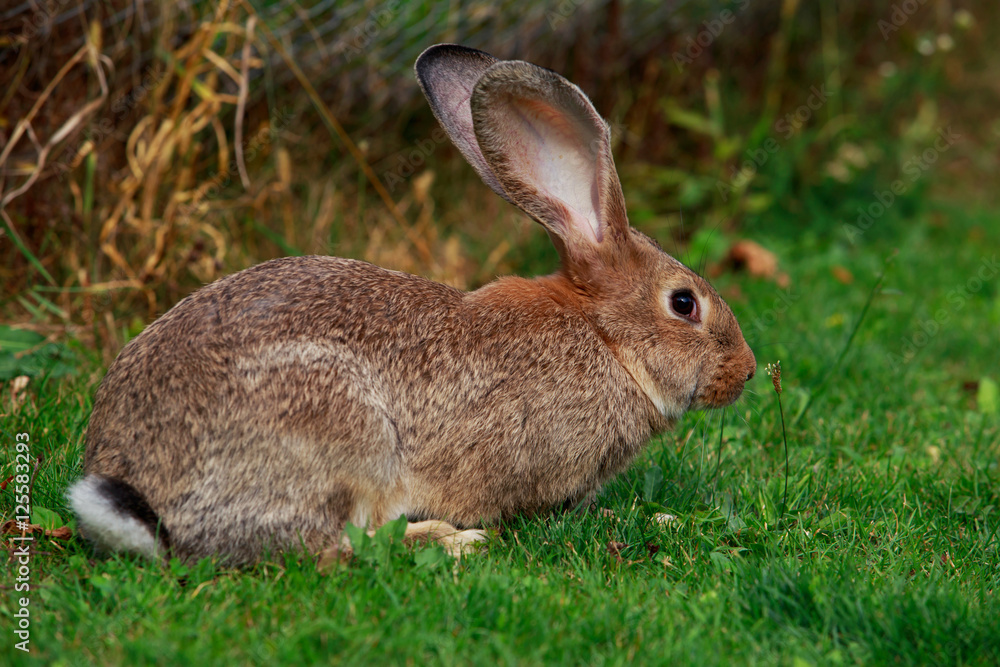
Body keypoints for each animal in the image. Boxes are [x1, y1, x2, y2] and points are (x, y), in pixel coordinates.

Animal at [68, 44, 757, 565]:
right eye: (684, 304)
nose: (746, 372)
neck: (606, 339)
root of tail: (144, 505)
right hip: (346, 438)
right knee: (338, 545)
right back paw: (456, 542)